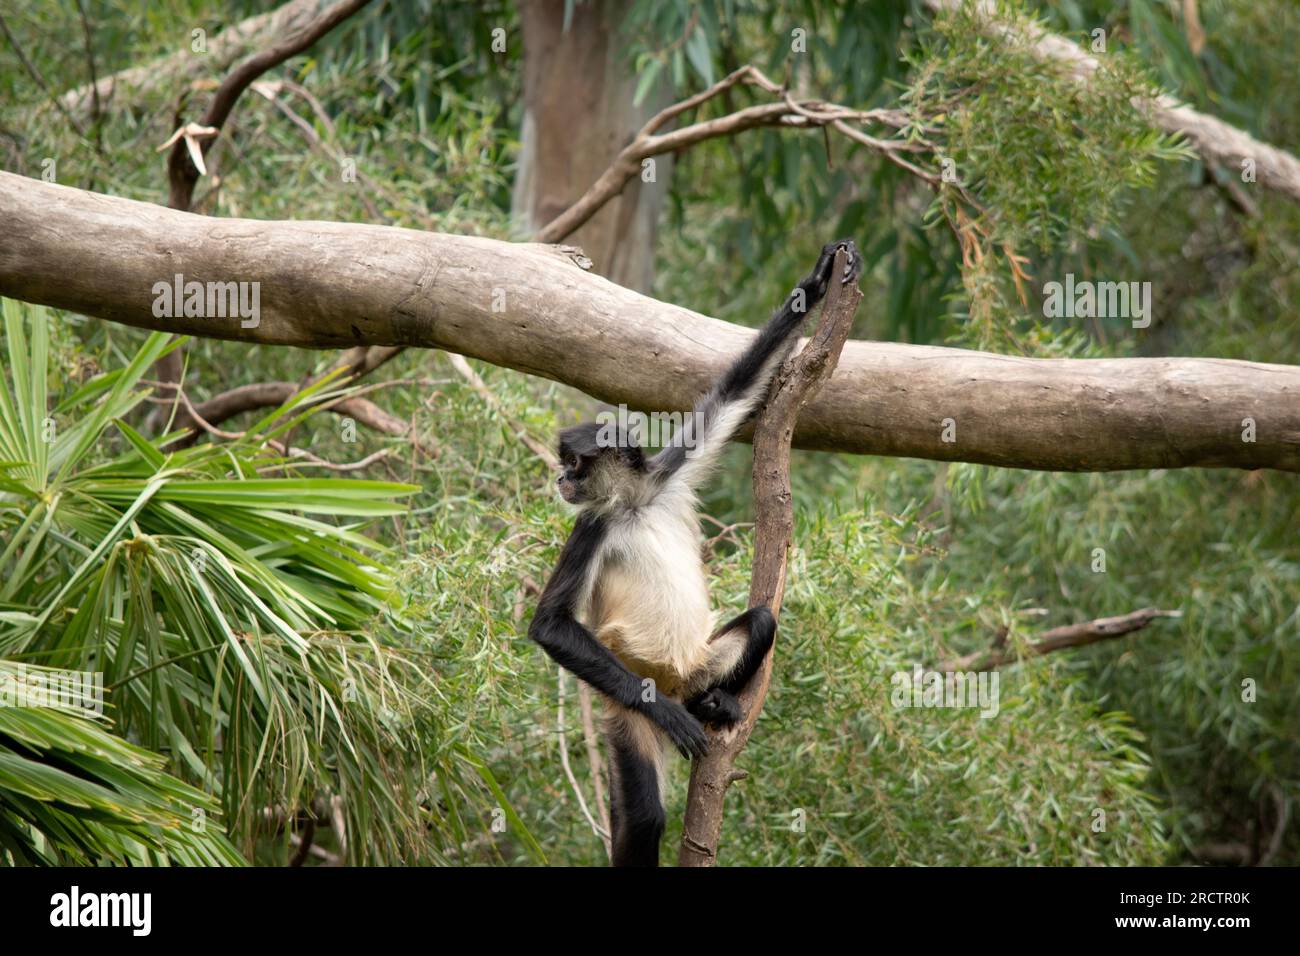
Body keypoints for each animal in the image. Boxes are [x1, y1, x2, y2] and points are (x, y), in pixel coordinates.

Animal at [528, 239, 861, 866]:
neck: (634, 506)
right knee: (644, 813)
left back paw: (711, 705)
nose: (560, 479)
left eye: (575, 463)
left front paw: (817, 282)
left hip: (697, 663)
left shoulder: (668, 477)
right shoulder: (592, 526)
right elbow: (549, 625)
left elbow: (735, 392)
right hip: (624, 704)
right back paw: (675, 715)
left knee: (761, 622)